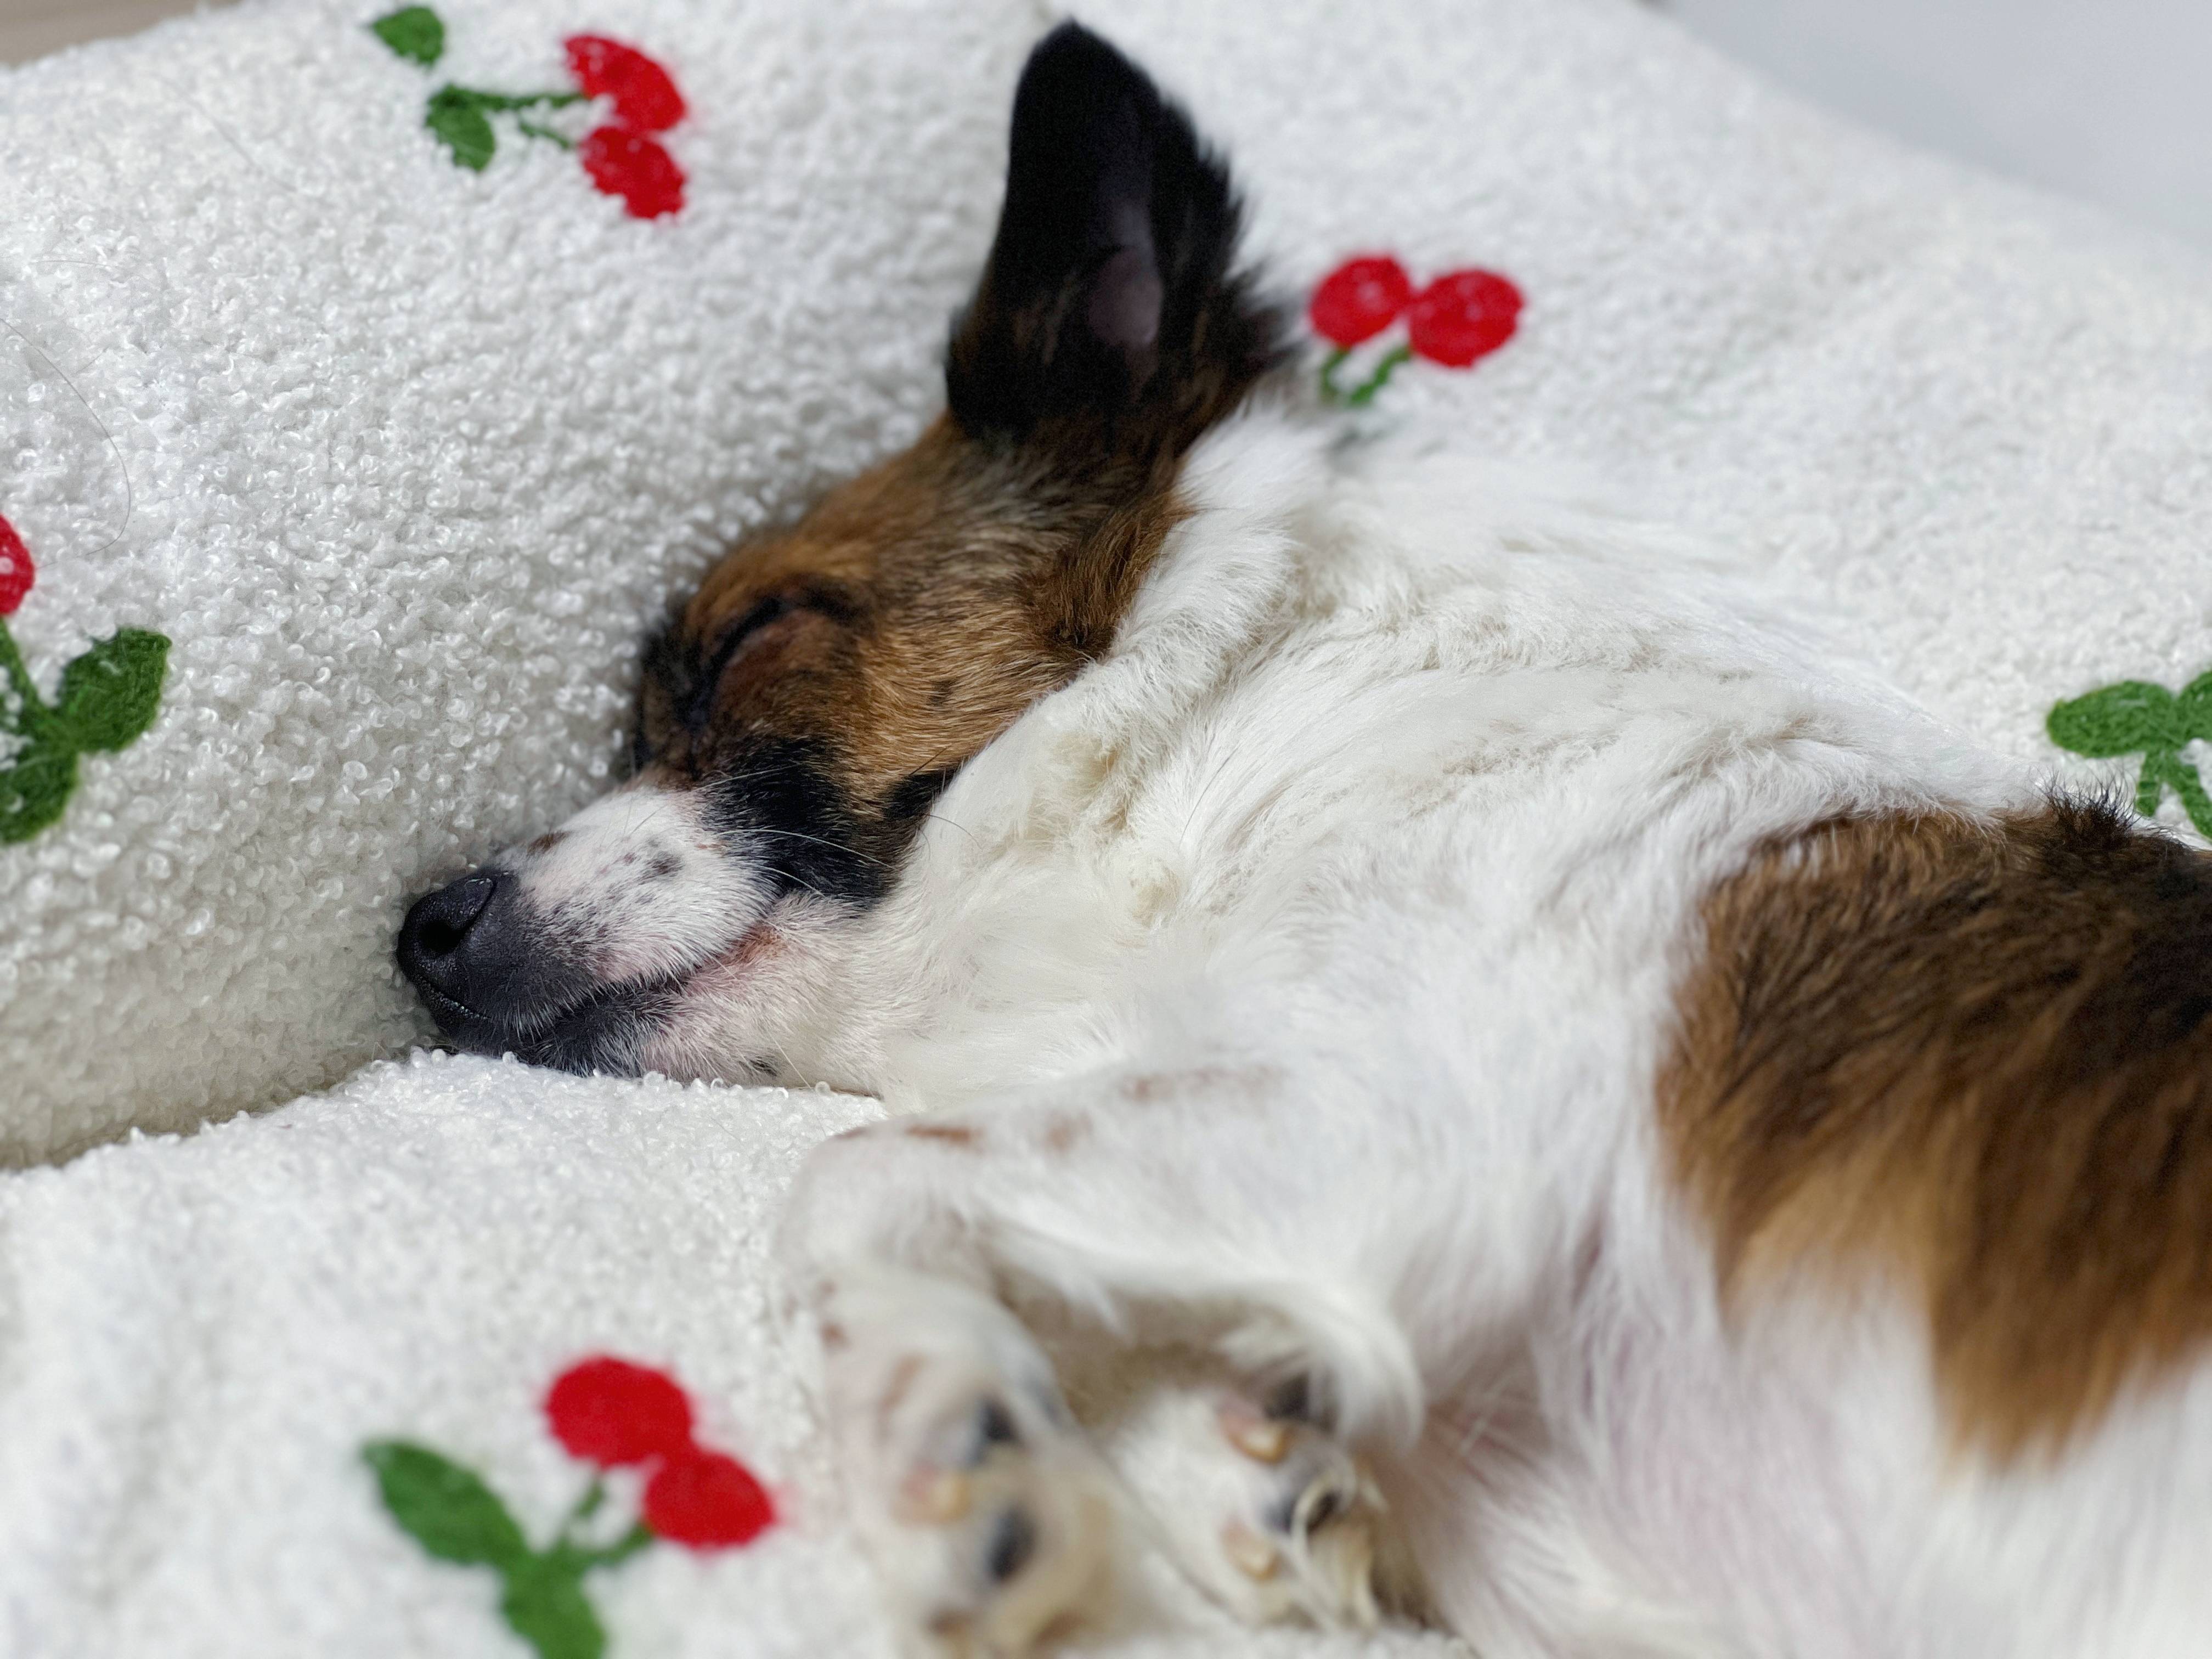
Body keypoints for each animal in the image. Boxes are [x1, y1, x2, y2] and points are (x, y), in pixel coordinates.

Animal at [398, 22, 2212, 1659]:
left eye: (741, 648)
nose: (422, 930)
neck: (1224, 757)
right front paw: (1238, 1467)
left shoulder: (1404, 1123)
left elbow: (859, 1177)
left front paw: (947, 1429)